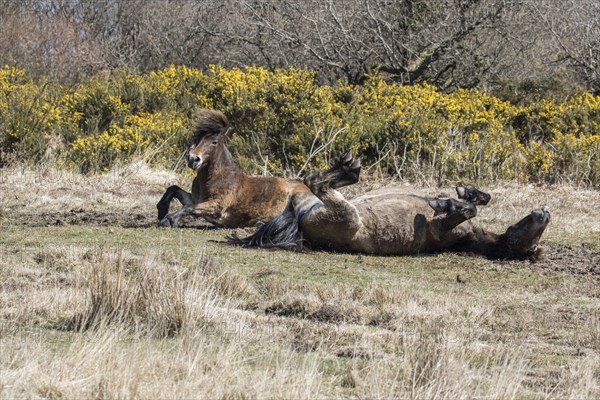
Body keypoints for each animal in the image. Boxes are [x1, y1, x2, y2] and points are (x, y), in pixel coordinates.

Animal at [155, 109, 314, 228]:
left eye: (214, 142)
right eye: (197, 138)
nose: (193, 159)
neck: (217, 177)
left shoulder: (217, 206)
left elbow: (189, 208)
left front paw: (169, 220)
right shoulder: (194, 199)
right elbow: (174, 189)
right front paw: (162, 210)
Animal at [232, 151, 552, 260]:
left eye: (531, 242)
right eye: (531, 229)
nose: (545, 213)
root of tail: (301, 226)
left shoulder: (443, 233)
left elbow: (462, 211)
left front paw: (448, 204)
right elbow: (475, 201)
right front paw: (462, 194)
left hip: (345, 216)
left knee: (315, 181)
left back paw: (348, 169)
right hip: (308, 201)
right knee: (311, 182)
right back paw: (347, 166)